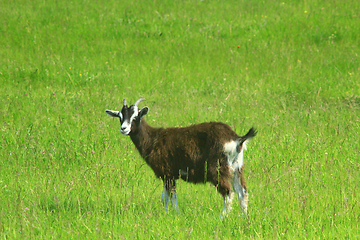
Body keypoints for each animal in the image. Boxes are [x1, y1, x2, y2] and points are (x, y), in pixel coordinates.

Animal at [105, 97, 256, 216]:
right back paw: (243, 217)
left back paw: (222, 217)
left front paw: (175, 214)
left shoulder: (167, 174)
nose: (123, 129)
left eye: (135, 117)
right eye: (120, 117)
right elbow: (164, 198)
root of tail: (237, 139)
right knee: (242, 192)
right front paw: (166, 214)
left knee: (228, 193)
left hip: (218, 169)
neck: (153, 139)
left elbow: (172, 197)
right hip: (236, 168)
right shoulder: (168, 176)